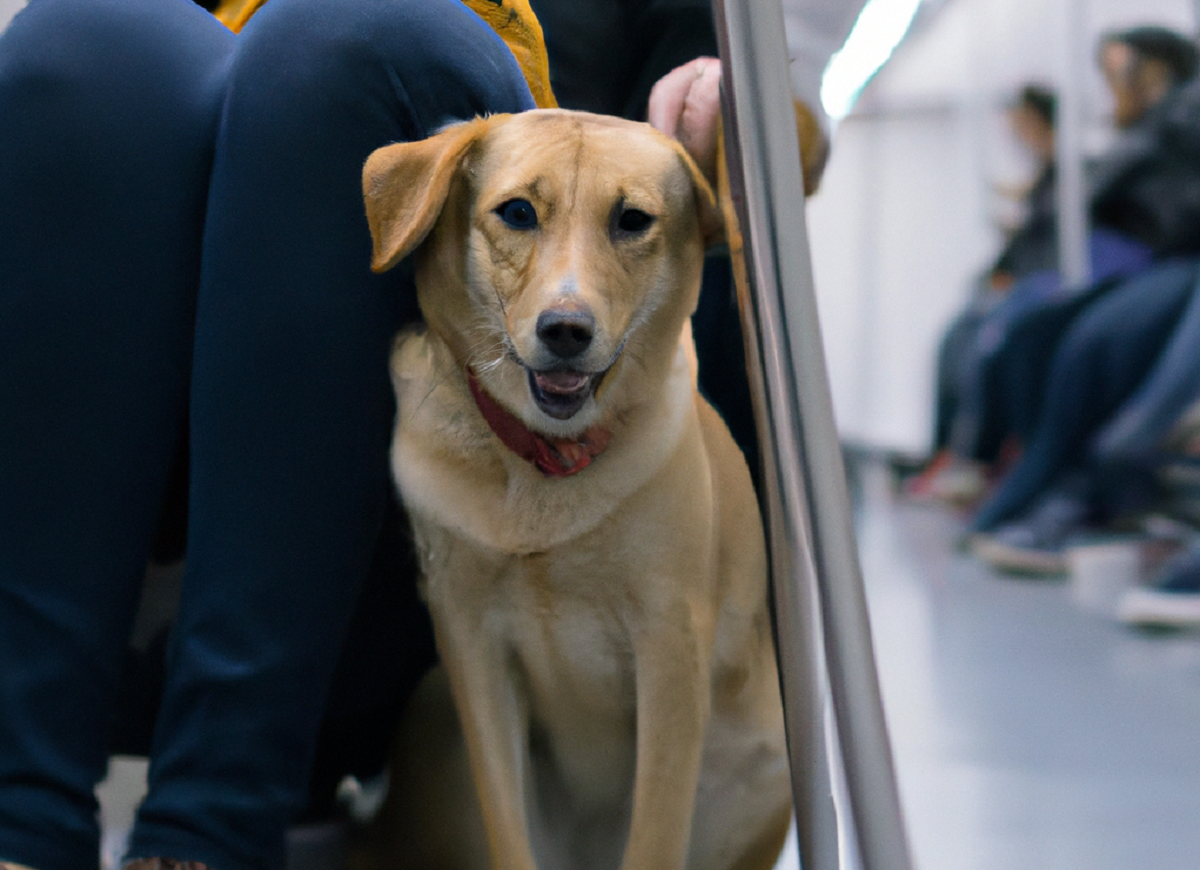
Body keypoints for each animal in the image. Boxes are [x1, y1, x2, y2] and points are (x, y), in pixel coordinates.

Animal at [355, 110, 792, 868]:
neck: (543, 468)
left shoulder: (670, 650)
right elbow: (508, 830)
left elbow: (654, 837)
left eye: (633, 220)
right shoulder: (469, 645)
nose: (565, 330)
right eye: (517, 213)